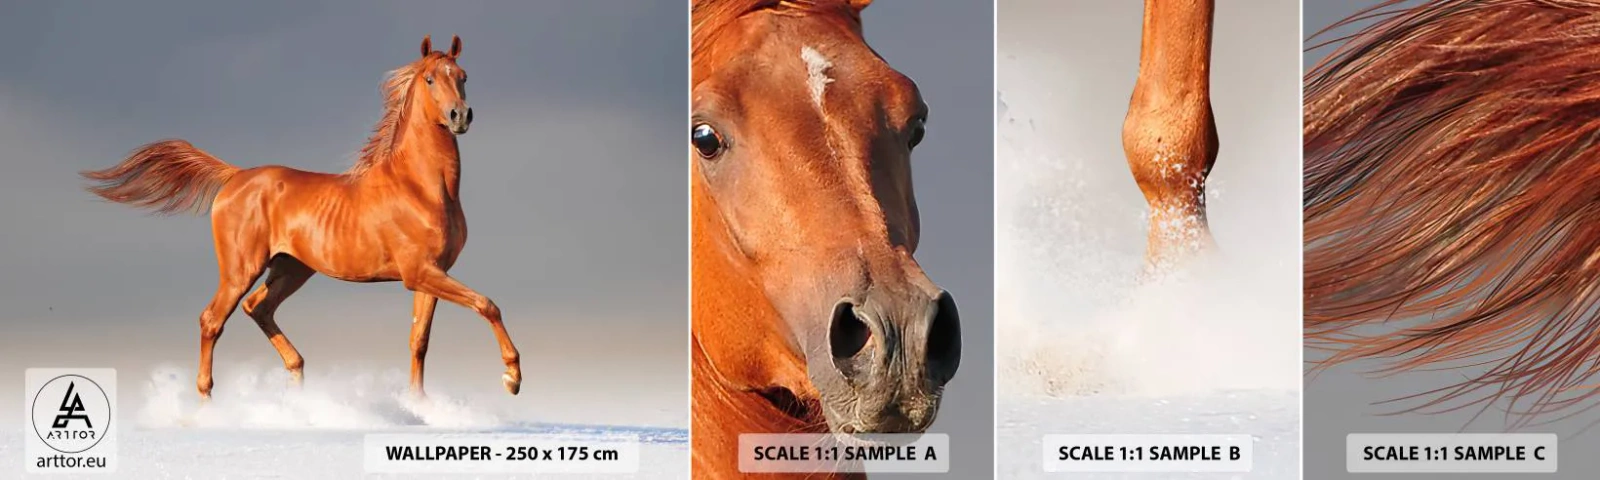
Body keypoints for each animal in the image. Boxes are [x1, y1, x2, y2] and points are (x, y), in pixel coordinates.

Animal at [80, 35, 522, 401]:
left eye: (463, 76)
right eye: (430, 79)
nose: (460, 115)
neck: (421, 187)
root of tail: (234, 176)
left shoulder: (431, 274)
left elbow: (419, 341)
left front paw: (419, 405)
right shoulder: (419, 272)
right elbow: (487, 304)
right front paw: (512, 378)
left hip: (291, 268)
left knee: (258, 308)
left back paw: (297, 382)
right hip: (242, 268)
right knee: (212, 320)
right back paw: (208, 401)